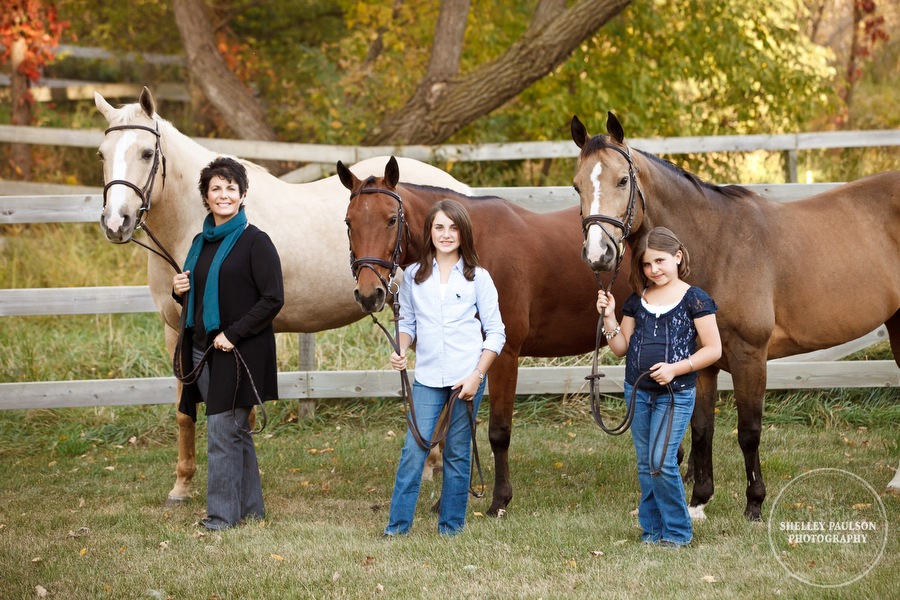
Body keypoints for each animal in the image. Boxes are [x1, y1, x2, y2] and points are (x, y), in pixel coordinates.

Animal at [96, 86, 474, 504]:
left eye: (147, 153)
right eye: (102, 154)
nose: (116, 222)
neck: (201, 225)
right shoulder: (176, 332)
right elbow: (185, 412)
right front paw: (182, 484)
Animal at [338, 155, 632, 516]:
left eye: (392, 219)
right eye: (349, 222)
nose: (369, 295)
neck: (475, 248)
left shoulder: (503, 355)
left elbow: (498, 431)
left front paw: (499, 500)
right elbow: (453, 430)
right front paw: (447, 501)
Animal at [568, 111, 900, 520]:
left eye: (623, 180)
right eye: (577, 186)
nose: (599, 255)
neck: (716, 245)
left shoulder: (749, 356)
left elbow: (748, 431)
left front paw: (754, 504)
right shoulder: (700, 362)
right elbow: (701, 430)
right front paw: (698, 501)